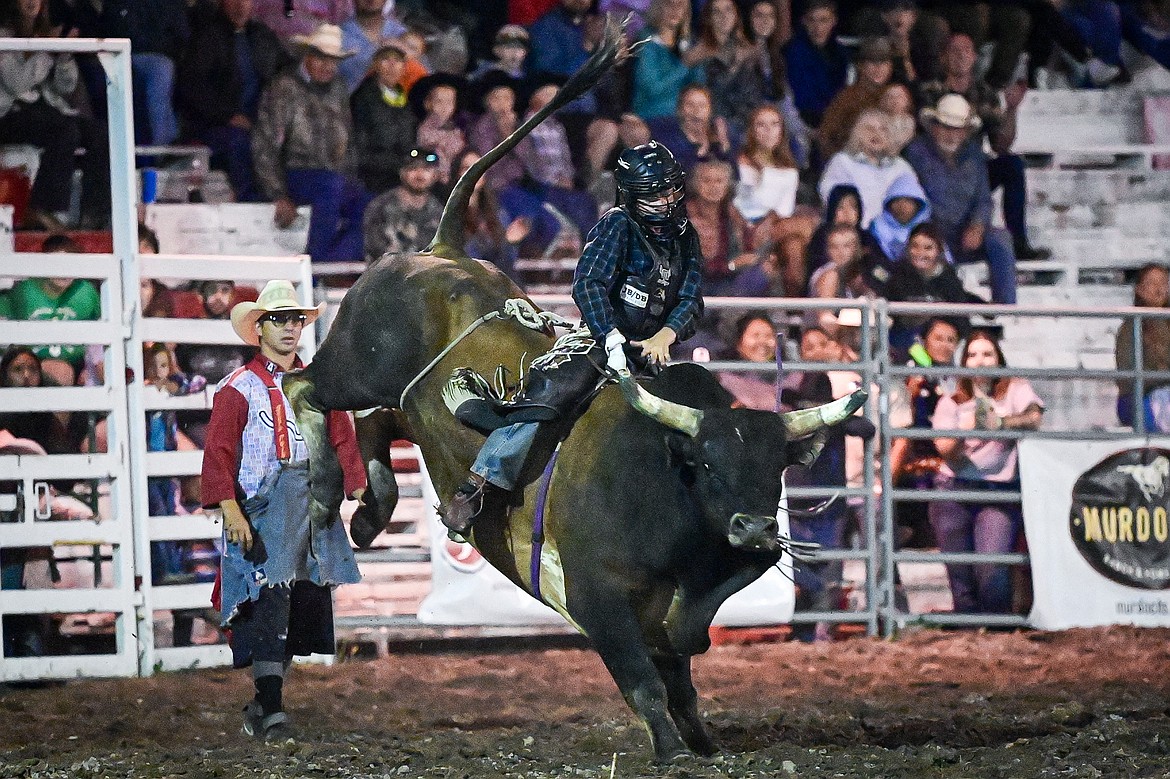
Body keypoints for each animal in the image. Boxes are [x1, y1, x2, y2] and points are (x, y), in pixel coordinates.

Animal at [278, 16, 865, 757]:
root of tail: (438, 250)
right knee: (304, 385)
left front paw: (704, 740)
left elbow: (681, 665)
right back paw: (330, 490)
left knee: (380, 422)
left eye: (776, 465)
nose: (755, 526)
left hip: (405, 401)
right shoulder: (596, 599)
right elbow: (644, 678)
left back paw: (372, 510)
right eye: (706, 461)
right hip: (357, 361)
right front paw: (672, 750)